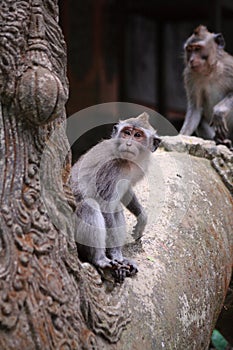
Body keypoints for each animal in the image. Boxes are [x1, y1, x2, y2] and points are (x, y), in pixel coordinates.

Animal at [70, 113, 160, 284]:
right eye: (127, 132)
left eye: (138, 135)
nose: (128, 143)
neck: (127, 162)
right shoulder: (111, 168)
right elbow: (104, 207)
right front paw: (116, 256)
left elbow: (125, 192)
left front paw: (142, 217)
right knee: (90, 206)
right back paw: (100, 258)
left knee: (116, 208)